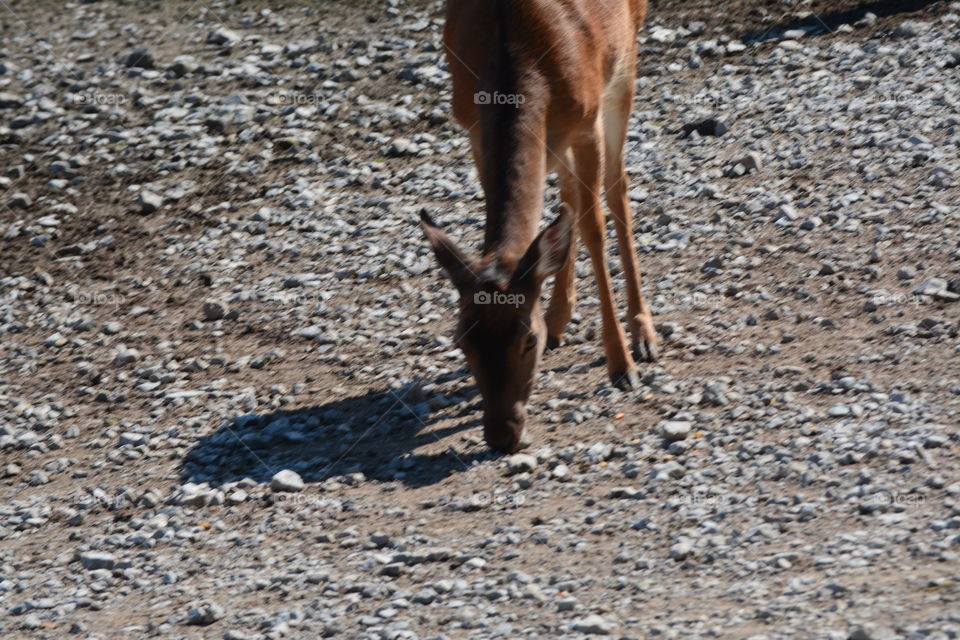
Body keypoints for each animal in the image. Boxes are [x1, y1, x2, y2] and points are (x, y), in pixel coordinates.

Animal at [420, 0, 656, 453]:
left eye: (529, 339)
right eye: (461, 339)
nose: (501, 435)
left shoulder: (587, 122)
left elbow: (594, 228)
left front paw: (621, 365)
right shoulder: (474, 128)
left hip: (626, 65)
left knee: (617, 186)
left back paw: (643, 333)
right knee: (566, 201)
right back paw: (561, 315)